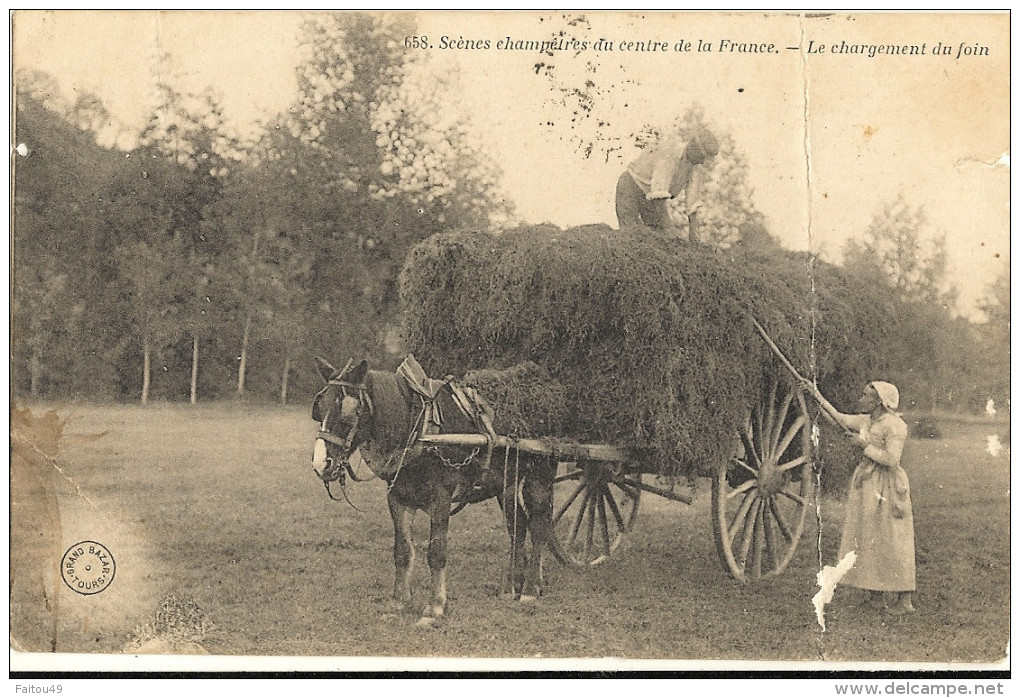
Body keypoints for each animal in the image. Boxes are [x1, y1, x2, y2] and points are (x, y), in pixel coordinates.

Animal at [308, 357, 554, 624]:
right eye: (319, 408)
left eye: (348, 413)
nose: (321, 464)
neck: (419, 430)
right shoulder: (398, 499)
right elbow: (403, 552)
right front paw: (399, 601)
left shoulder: (440, 498)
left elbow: (436, 552)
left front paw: (435, 607)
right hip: (506, 484)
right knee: (518, 527)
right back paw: (511, 587)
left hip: (540, 476)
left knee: (539, 526)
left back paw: (530, 588)